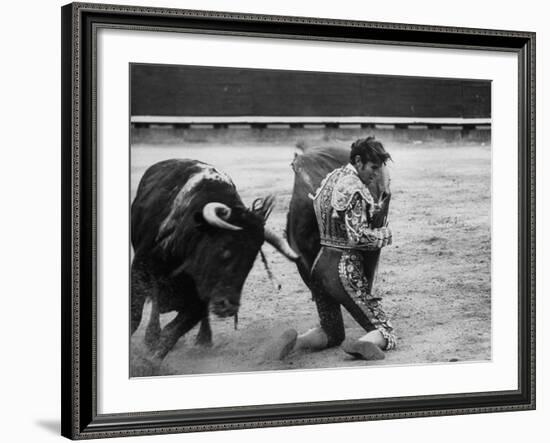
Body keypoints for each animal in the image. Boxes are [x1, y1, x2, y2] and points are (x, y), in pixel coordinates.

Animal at [131, 160, 300, 374]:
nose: (229, 307)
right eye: (225, 250)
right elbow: (135, 317)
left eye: (251, 261)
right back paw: (151, 337)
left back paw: (203, 340)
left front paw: (148, 363)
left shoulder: (200, 300)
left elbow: (172, 333)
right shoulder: (139, 271)